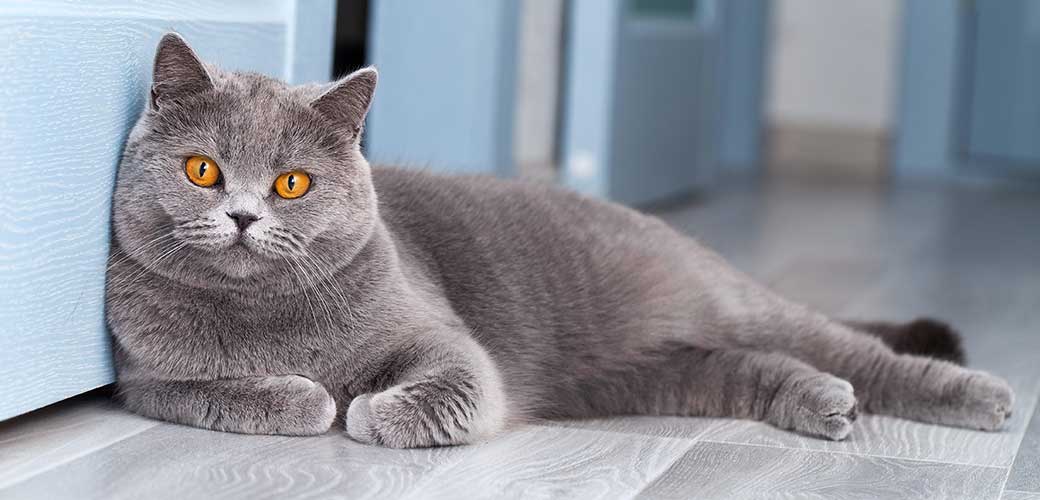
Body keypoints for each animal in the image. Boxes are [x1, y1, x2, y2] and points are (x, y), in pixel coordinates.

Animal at [107, 34, 1015, 449]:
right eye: (203, 170)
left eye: (292, 183)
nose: (243, 216)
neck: (268, 319)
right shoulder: (144, 379)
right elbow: (223, 393)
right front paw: (311, 397)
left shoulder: (445, 340)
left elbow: (446, 385)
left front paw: (367, 408)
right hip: (652, 375)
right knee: (755, 367)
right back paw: (825, 403)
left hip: (731, 304)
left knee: (855, 350)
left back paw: (983, 398)